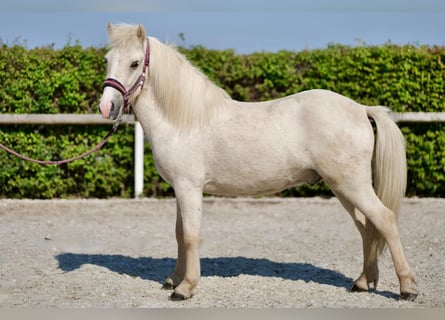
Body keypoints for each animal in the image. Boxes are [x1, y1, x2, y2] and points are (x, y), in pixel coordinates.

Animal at [99, 23, 418, 302]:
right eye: (108, 60)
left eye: (135, 63)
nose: (106, 107)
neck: (184, 121)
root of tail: (360, 108)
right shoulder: (180, 189)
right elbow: (179, 234)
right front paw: (174, 280)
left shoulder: (189, 187)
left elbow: (190, 236)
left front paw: (185, 288)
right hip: (342, 187)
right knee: (367, 226)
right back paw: (363, 282)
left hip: (351, 184)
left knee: (385, 220)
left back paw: (407, 288)